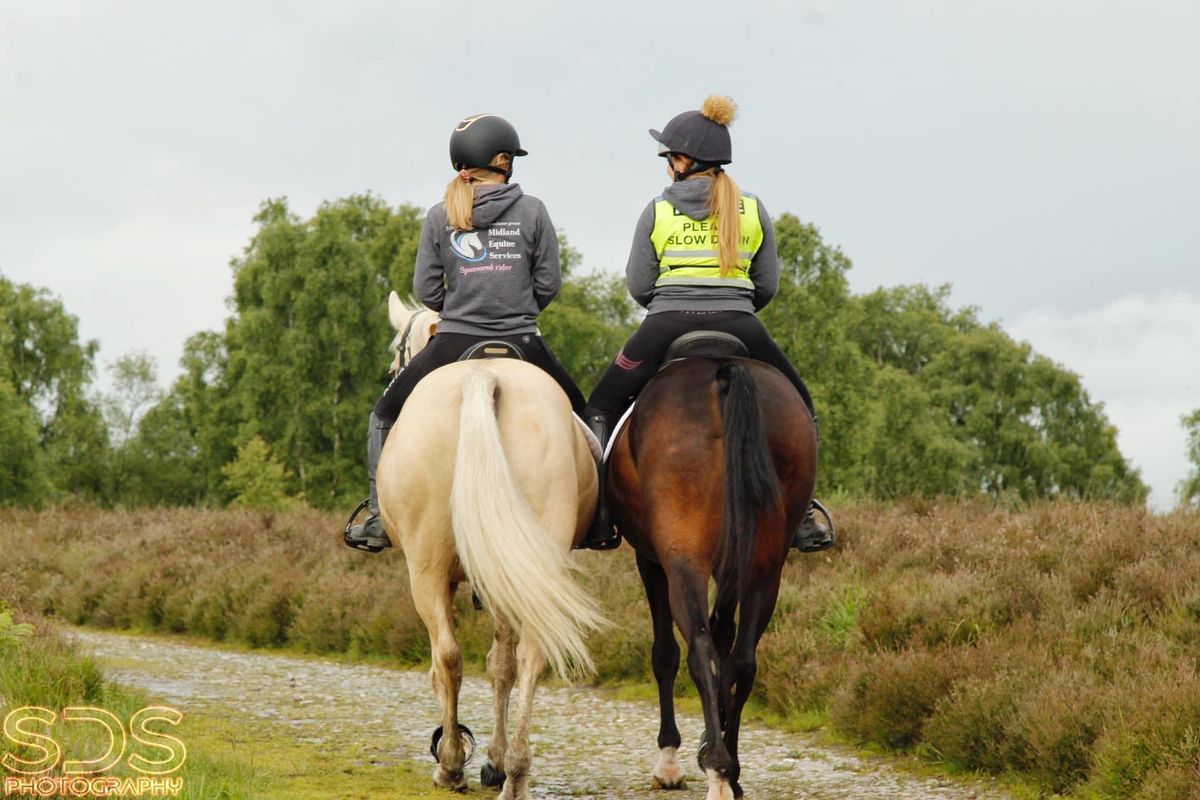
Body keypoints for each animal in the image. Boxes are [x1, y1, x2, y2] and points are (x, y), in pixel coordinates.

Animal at [374, 293, 604, 800]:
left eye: (396, 356)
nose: (394, 371)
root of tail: (484, 376)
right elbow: (502, 665)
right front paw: (496, 761)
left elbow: (449, 664)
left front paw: (464, 758)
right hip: (530, 559)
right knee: (531, 654)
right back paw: (516, 772)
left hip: (427, 569)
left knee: (448, 656)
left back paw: (451, 764)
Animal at [609, 352, 816, 800]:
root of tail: (724, 369)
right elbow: (726, 638)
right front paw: (711, 737)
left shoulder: (653, 561)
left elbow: (666, 653)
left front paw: (672, 759)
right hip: (765, 568)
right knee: (742, 658)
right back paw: (729, 770)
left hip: (683, 561)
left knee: (699, 651)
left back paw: (717, 770)